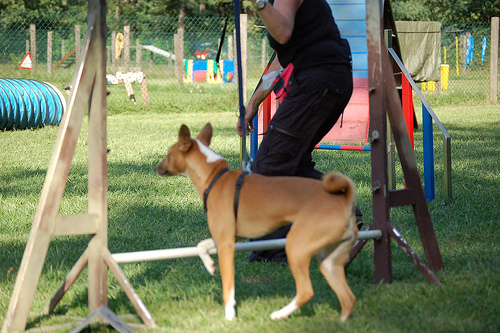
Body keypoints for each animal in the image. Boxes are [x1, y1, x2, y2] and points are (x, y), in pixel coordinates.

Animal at [156, 123, 356, 320]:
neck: (215, 178)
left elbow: (228, 286)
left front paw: (229, 315)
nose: (157, 167)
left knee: (306, 292)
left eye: (168, 153)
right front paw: (210, 266)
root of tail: (344, 201)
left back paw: (279, 314)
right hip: (329, 261)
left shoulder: (226, 245)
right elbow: (201, 246)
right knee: (348, 298)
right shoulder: (230, 237)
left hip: (297, 247)